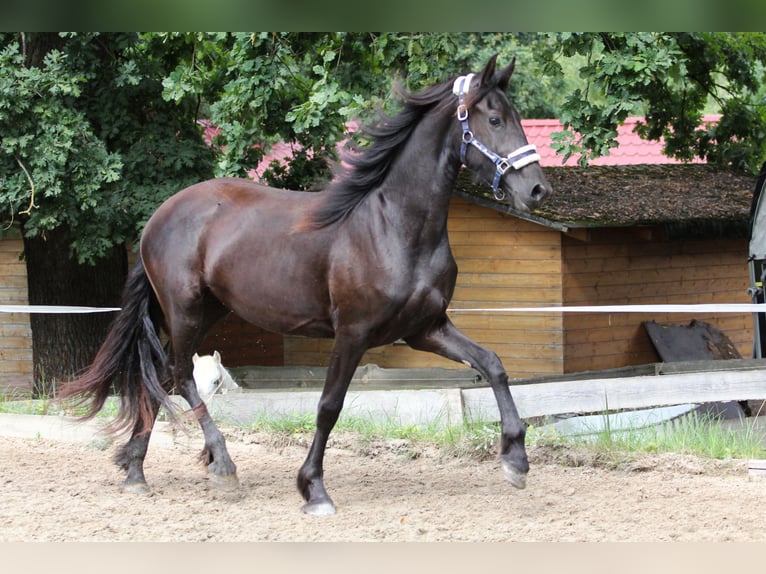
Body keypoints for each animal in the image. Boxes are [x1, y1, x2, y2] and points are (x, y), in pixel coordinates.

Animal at [59, 54, 551, 515]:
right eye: (494, 119)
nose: (537, 191)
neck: (394, 226)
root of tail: (157, 218)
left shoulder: (425, 329)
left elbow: (493, 364)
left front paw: (516, 460)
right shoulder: (352, 333)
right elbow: (329, 406)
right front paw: (314, 490)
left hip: (208, 311)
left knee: (160, 377)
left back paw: (136, 471)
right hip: (185, 311)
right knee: (179, 378)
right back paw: (222, 467)